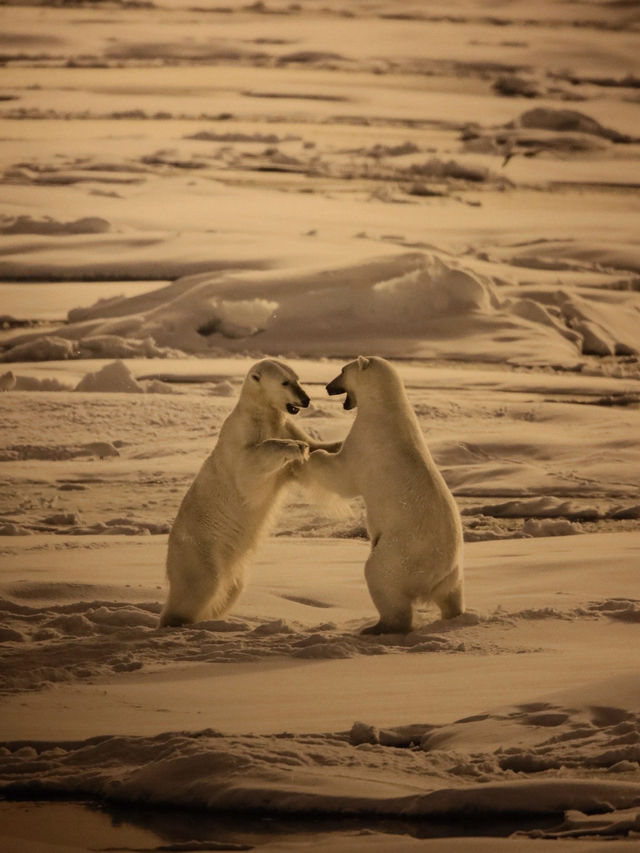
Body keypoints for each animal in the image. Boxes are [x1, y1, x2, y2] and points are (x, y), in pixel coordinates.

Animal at [161, 360, 340, 624]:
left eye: (298, 378)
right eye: (284, 382)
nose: (306, 399)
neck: (260, 413)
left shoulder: (285, 426)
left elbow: (313, 450)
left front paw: (333, 444)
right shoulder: (241, 437)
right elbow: (249, 471)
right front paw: (295, 446)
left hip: (228, 563)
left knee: (232, 589)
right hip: (199, 551)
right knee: (201, 586)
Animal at [302, 354, 462, 632]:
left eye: (341, 370)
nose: (327, 387)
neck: (386, 407)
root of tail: (433, 576)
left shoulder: (366, 439)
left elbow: (344, 477)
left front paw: (315, 453)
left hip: (400, 553)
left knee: (381, 578)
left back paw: (378, 627)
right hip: (453, 572)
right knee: (451, 594)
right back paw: (453, 614)